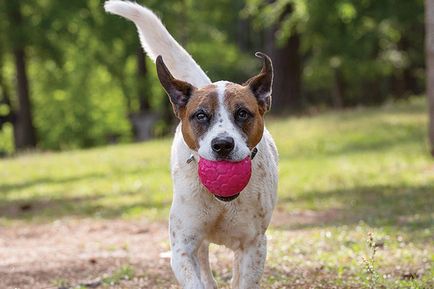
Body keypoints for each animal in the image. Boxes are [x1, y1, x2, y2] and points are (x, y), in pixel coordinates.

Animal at [104, 1, 278, 286]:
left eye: (242, 113)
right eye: (201, 115)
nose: (223, 145)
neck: (221, 201)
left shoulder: (254, 245)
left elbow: (243, 279)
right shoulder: (183, 247)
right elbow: (196, 279)